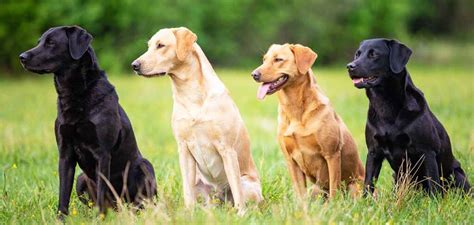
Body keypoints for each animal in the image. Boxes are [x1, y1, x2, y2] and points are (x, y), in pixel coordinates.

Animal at [19, 25, 157, 217]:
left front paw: (100, 218)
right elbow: (63, 193)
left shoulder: (102, 153)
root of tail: (120, 207)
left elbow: (101, 189)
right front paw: (60, 218)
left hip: (145, 166)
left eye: (51, 42)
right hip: (81, 179)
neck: (74, 94)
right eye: (39, 42)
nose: (22, 57)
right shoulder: (65, 153)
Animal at [131, 27, 262, 214]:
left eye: (161, 45)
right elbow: (187, 190)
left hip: (248, 185)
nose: (134, 65)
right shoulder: (184, 149)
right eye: (149, 46)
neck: (190, 93)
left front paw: (241, 214)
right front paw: (188, 213)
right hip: (200, 186)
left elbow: (237, 191)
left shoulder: (227, 149)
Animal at [252, 44, 362, 199]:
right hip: (316, 189)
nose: (254, 74)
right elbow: (300, 194)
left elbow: (334, 188)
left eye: (278, 59)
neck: (295, 110)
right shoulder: (291, 160)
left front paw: (334, 204)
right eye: (264, 60)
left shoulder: (332, 154)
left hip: (355, 187)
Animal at [346, 37, 472, 194]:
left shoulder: (427, 151)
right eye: (357, 54)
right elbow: (368, 183)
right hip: (397, 177)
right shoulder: (373, 152)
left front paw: (434, 201)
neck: (385, 104)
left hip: (456, 175)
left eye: (373, 54)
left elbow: (433, 185)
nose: (349, 66)